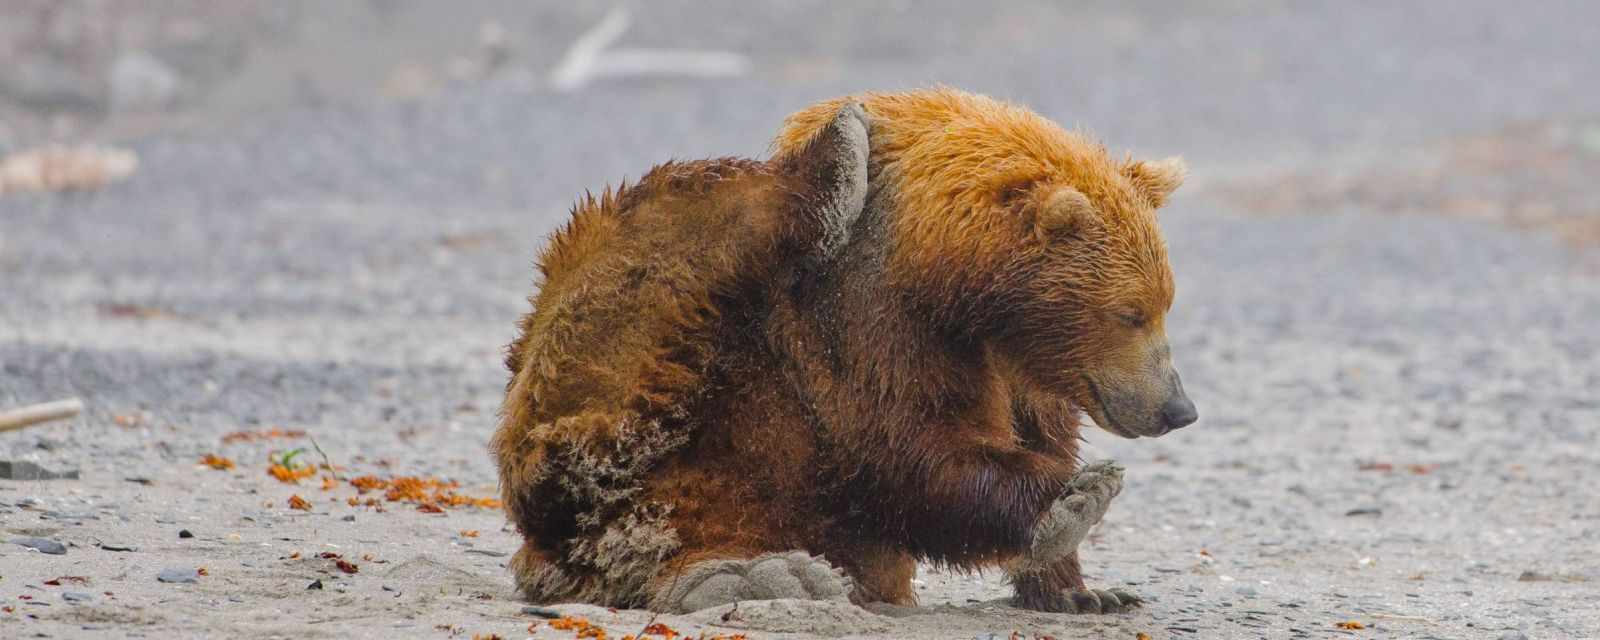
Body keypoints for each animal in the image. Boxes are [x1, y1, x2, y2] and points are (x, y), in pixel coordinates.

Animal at [492, 90, 1196, 614]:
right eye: (1131, 312)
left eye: (1165, 302)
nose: (1177, 408)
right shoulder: (869, 314)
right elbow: (906, 443)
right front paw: (1074, 493)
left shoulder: (1026, 369)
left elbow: (1027, 433)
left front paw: (1086, 589)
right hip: (606, 398)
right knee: (668, 225)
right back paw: (834, 159)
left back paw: (762, 575)